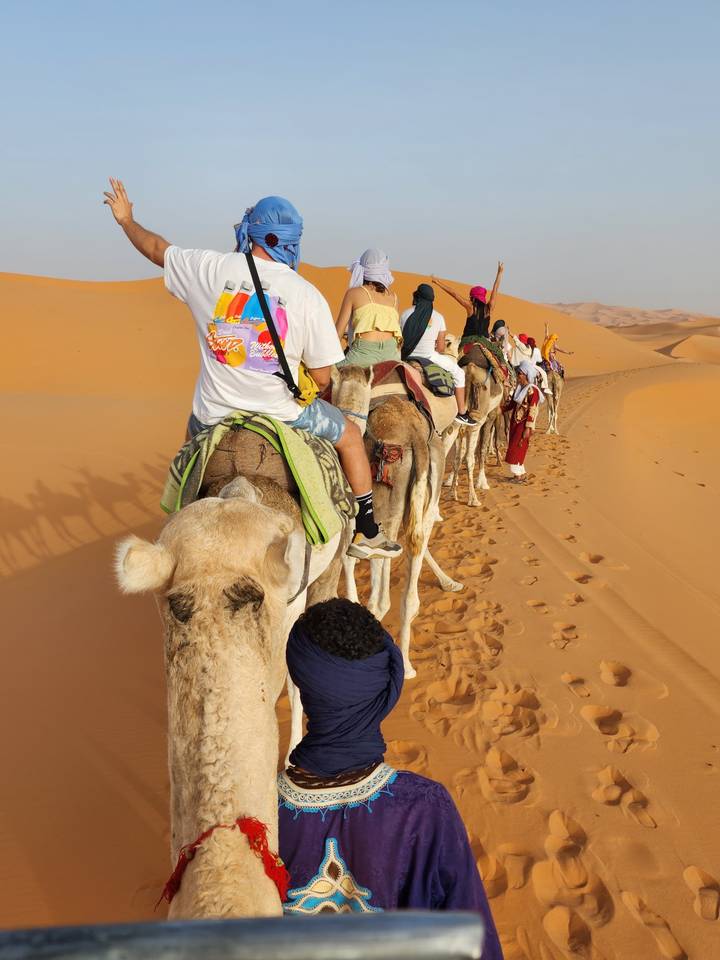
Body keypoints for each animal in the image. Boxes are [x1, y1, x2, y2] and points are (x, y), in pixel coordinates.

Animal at [332, 366, 461, 678]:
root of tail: (414, 436)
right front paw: (449, 582)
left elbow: (348, 562)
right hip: (427, 483)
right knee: (408, 583)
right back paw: (407, 665)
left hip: (384, 503)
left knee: (379, 599)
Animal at [446, 362, 504, 506]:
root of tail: (469, 373)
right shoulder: (492, 415)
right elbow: (482, 448)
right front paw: (483, 482)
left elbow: (458, 457)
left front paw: (452, 492)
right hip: (477, 421)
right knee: (469, 458)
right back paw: (473, 499)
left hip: (455, 422)